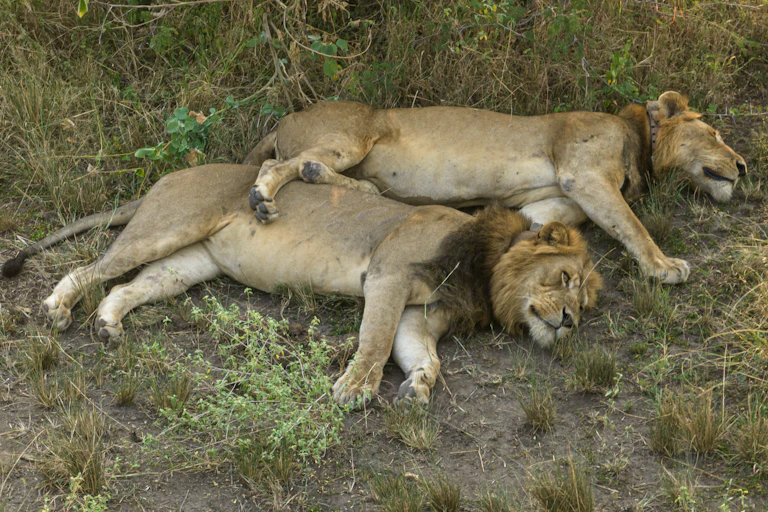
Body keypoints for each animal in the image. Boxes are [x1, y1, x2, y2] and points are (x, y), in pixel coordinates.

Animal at [22, 162, 602, 406]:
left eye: (587, 302)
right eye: (565, 277)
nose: (571, 322)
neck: (485, 271)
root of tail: (168, 177)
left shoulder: (421, 315)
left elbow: (424, 355)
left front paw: (417, 386)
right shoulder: (389, 275)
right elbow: (373, 341)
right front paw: (355, 389)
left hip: (189, 264)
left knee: (126, 288)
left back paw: (107, 325)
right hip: (169, 226)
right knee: (91, 270)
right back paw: (57, 309)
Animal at [244, 91, 746, 284]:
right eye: (715, 134)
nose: (742, 166)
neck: (639, 136)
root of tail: (287, 118)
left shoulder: (559, 197)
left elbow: (548, 223)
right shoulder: (582, 174)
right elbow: (632, 224)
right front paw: (664, 266)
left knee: (303, 166)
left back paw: (353, 188)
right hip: (350, 137)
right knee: (277, 163)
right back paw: (263, 199)